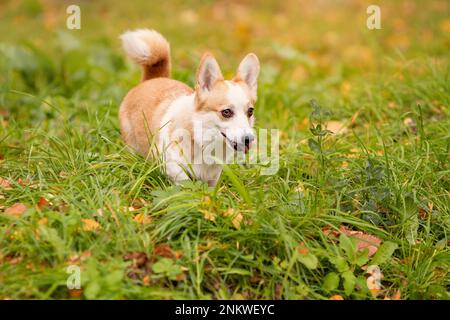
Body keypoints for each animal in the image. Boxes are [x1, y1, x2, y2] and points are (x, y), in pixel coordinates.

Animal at [119, 29, 260, 188]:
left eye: (250, 111)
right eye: (226, 112)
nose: (249, 139)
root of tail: (153, 79)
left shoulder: (213, 176)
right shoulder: (170, 162)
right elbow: (183, 181)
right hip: (131, 145)